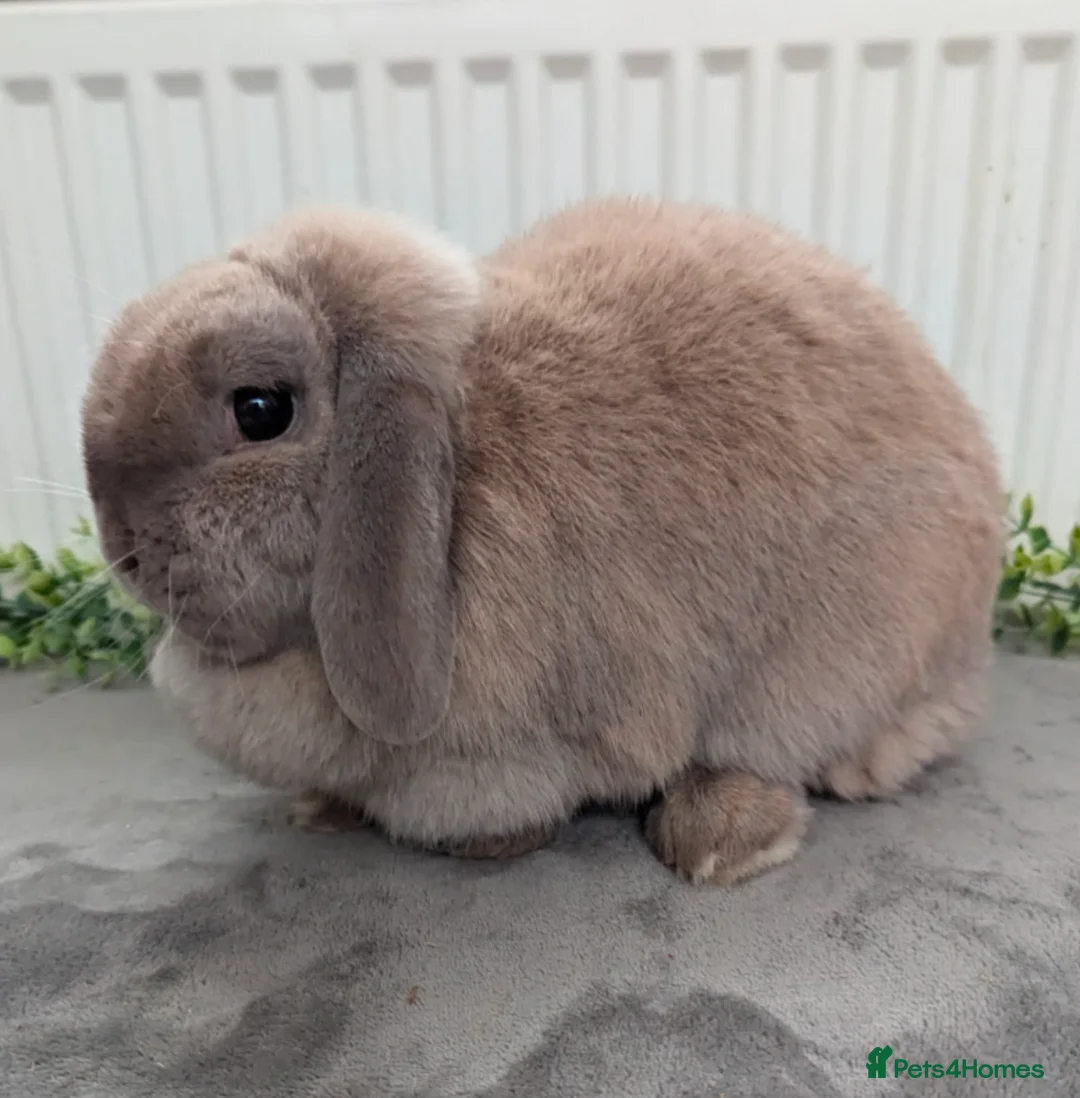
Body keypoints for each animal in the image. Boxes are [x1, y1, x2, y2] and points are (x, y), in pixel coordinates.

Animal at [81, 197, 1003, 885]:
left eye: (261, 410)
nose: (122, 547)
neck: (453, 493)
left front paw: (489, 844)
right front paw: (320, 810)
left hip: (840, 667)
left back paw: (718, 840)